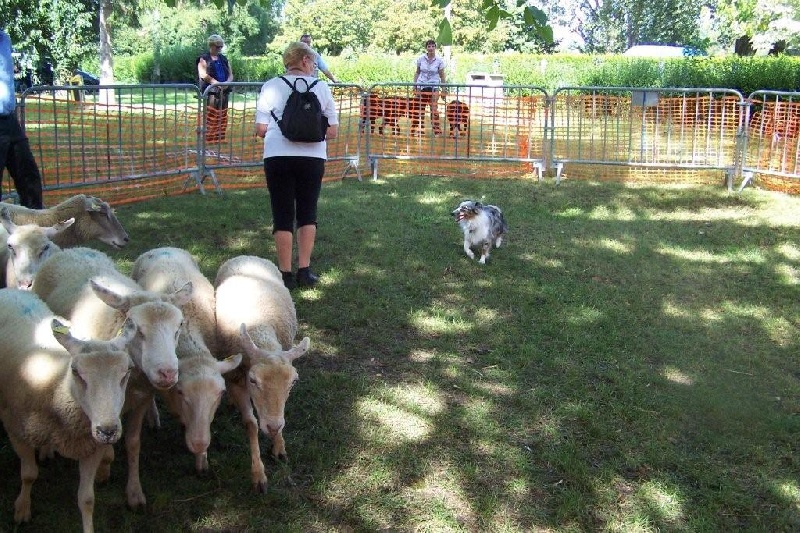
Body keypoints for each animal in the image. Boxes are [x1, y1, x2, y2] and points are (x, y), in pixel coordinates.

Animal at [0, 286, 136, 532]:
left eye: (127, 371)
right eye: (76, 371)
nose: (108, 431)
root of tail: (10, 290)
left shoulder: (92, 445)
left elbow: (87, 499)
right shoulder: (16, 429)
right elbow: (28, 475)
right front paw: (22, 509)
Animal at [32, 245, 191, 508]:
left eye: (179, 326)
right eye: (136, 328)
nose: (168, 373)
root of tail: (73, 249)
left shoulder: (141, 398)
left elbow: (133, 443)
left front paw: (134, 492)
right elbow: (105, 447)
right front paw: (104, 470)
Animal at [212, 254, 310, 490]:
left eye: (293, 382)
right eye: (253, 380)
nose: (273, 427)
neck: (261, 330)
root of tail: (246, 255)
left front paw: (279, 446)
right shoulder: (237, 380)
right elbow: (251, 424)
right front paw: (258, 473)